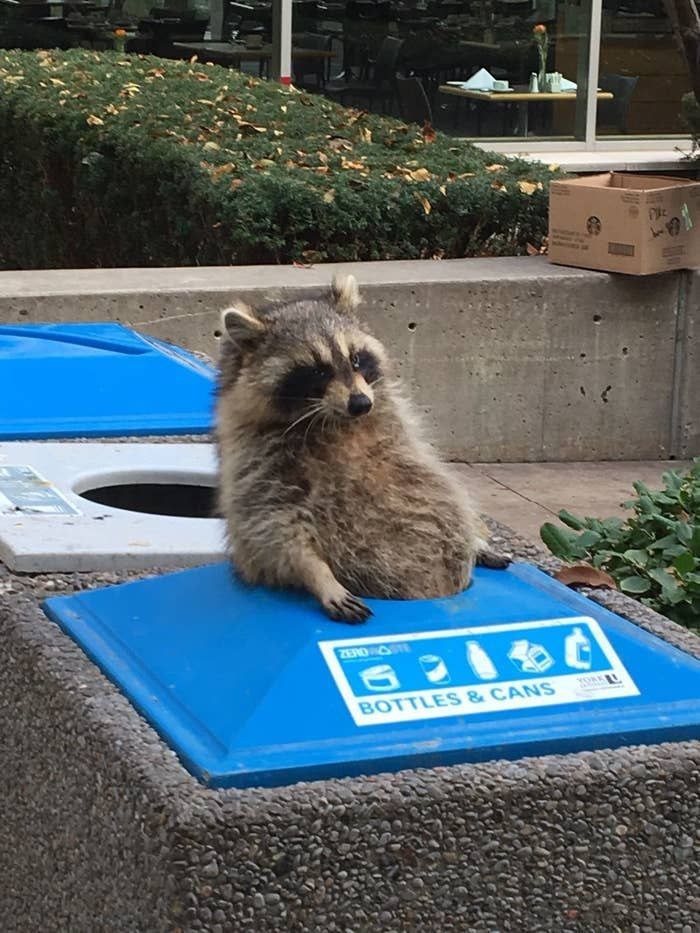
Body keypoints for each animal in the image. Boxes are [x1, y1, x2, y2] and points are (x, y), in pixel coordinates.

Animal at [216, 273, 508, 624]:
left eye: (356, 359)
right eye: (318, 370)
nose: (361, 404)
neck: (332, 422)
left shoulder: (402, 429)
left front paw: (476, 540)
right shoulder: (256, 461)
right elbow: (273, 525)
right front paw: (318, 574)